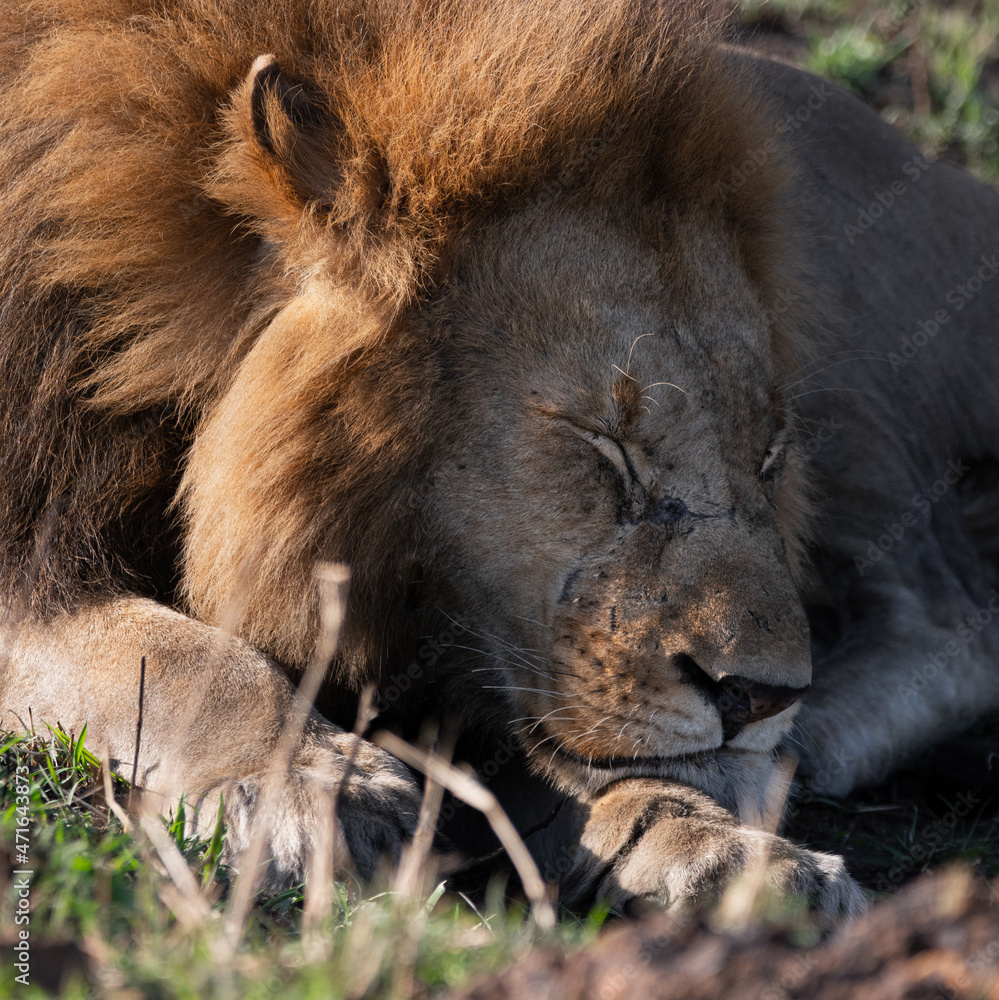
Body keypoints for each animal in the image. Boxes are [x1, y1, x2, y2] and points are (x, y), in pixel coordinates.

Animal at [1, 0, 997, 922]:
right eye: (600, 446)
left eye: (769, 456)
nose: (756, 698)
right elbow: (184, 660)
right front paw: (319, 788)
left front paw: (720, 842)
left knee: (948, 614)